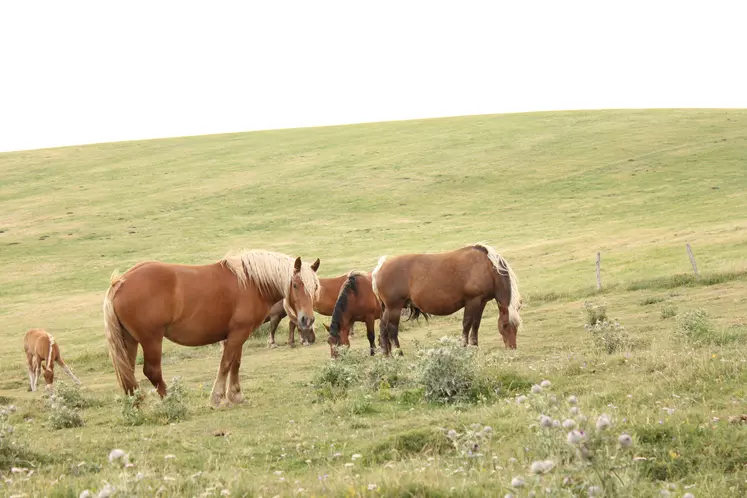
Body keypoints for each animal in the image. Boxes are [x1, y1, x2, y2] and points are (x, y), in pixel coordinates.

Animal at [101, 251, 318, 406]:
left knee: (128, 373)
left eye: (315, 287)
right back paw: (171, 401)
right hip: (151, 339)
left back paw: (136, 405)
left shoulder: (237, 334)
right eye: (296, 285)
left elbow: (235, 364)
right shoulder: (238, 333)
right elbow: (226, 364)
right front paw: (217, 397)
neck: (251, 283)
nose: (307, 319)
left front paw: (236, 396)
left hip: (129, 340)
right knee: (152, 371)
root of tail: (120, 282)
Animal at [372, 243, 524, 356]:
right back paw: (399, 353)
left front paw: (475, 345)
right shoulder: (472, 301)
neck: (487, 266)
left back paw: (388, 355)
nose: (512, 348)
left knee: (383, 328)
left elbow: (476, 324)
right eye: (505, 325)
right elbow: (467, 323)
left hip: (388, 309)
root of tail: (380, 267)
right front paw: (464, 346)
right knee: (392, 329)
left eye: (516, 326)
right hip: (394, 308)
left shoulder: (482, 301)